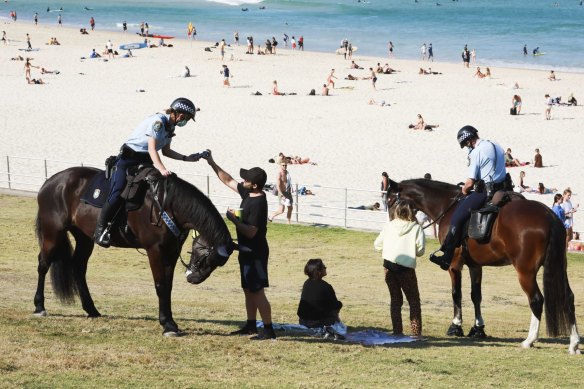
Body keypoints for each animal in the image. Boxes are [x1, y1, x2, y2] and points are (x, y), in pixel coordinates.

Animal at [33, 166, 235, 334]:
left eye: (217, 264)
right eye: (207, 257)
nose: (194, 279)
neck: (166, 204)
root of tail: (50, 182)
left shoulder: (171, 251)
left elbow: (168, 286)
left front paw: (170, 321)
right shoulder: (155, 250)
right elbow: (161, 286)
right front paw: (167, 324)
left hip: (84, 238)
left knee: (78, 268)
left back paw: (91, 309)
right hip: (53, 233)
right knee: (43, 264)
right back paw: (39, 306)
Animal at [386, 177, 580, 354]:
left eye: (389, 200)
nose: (391, 222)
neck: (447, 206)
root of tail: (549, 216)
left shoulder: (454, 264)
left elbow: (456, 294)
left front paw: (456, 326)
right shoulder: (475, 266)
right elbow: (476, 296)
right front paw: (478, 328)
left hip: (525, 272)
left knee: (536, 300)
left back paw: (530, 340)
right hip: (559, 267)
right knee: (568, 297)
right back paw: (574, 343)